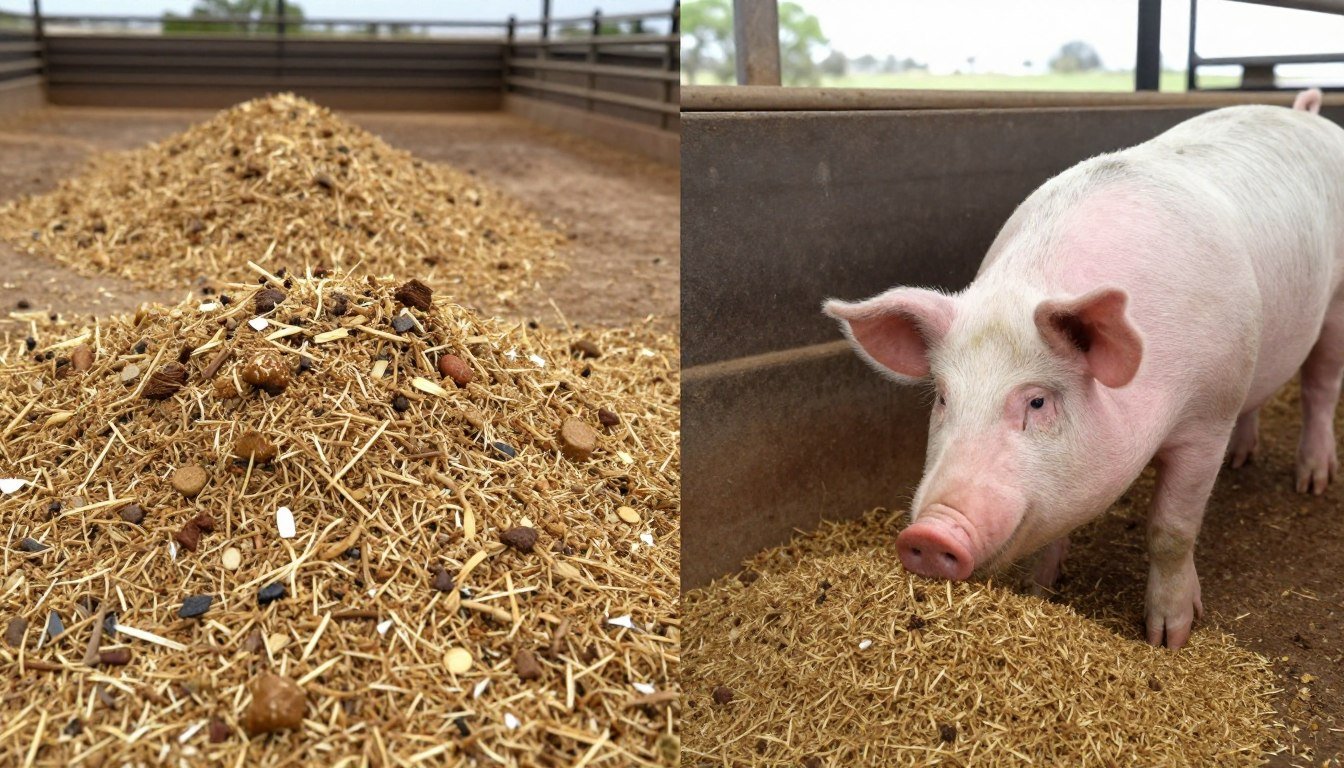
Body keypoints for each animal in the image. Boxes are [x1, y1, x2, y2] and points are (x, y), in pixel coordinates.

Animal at [824, 88, 1344, 649]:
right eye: (943, 397)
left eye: (1037, 401)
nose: (928, 534)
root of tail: (1307, 113)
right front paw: (1040, 590)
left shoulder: (1207, 415)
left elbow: (1171, 529)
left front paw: (1169, 638)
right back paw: (1242, 459)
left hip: (1334, 304)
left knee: (1320, 386)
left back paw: (1313, 481)